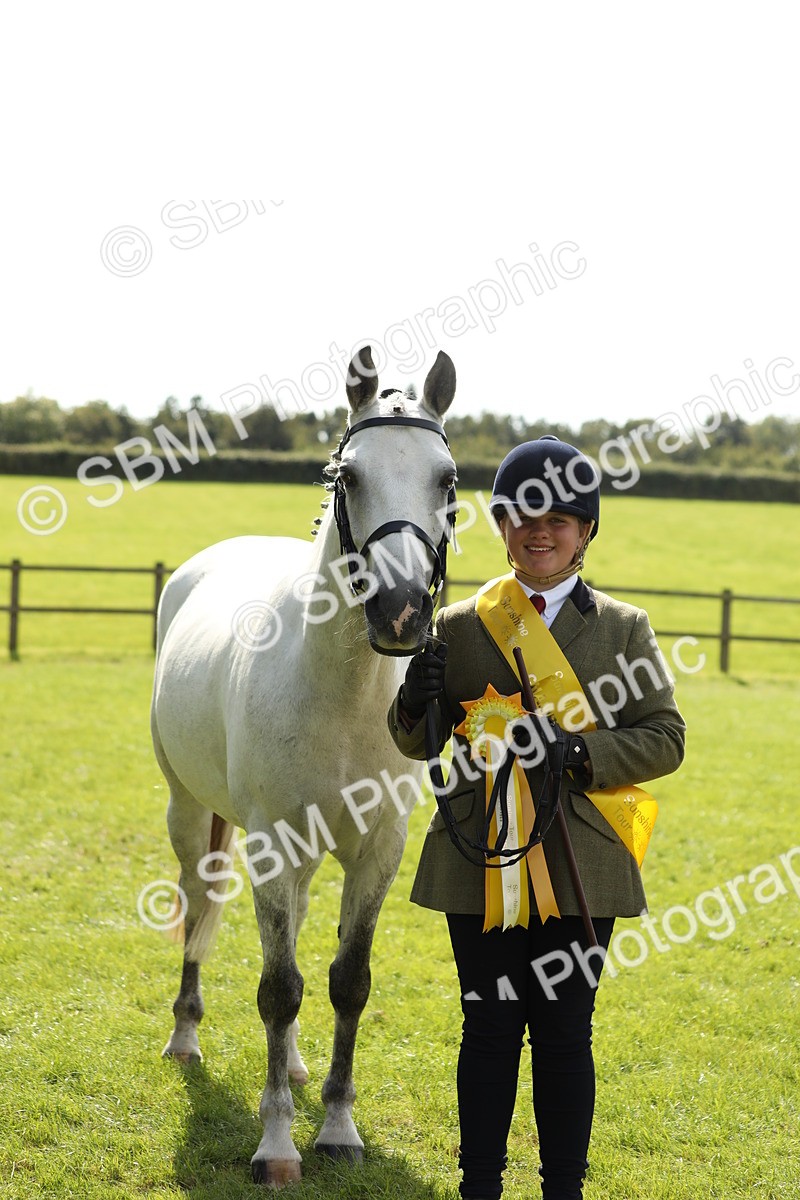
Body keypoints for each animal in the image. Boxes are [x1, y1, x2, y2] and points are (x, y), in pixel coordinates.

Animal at [150, 346, 457, 1186]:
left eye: (447, 479)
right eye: (348, 477)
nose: (402, 611)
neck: (341, 693)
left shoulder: (377, 850)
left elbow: (347, 982)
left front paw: (338, 1128)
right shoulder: (270, 846)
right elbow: (278, 988)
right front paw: (278, 1146)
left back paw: (287, 1065)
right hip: (191, 815)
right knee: (197, 904)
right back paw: (186, 1037)